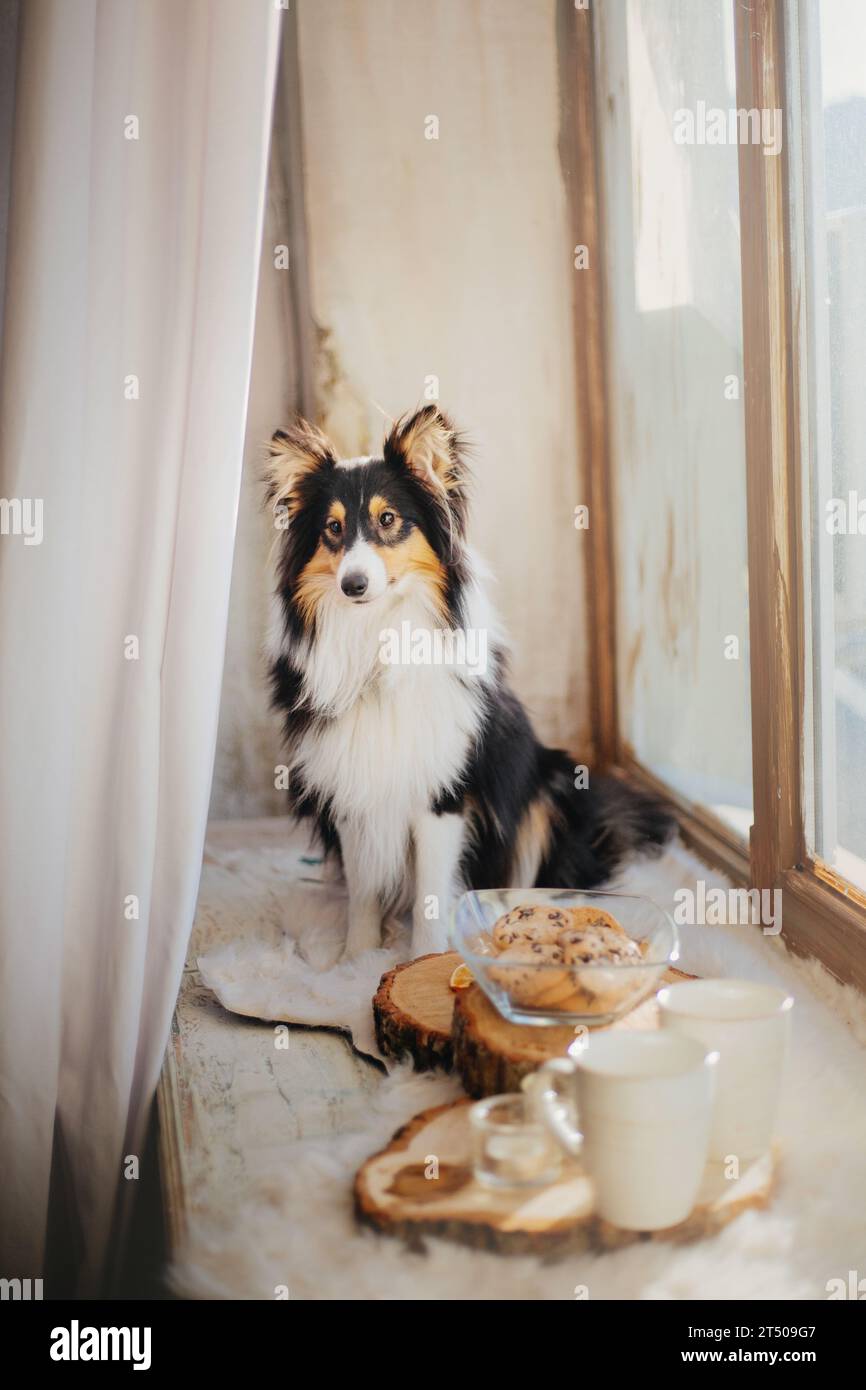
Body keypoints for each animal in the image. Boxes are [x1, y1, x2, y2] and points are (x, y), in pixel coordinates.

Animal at [268, 405, 675, 961]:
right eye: (333, 528)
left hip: (545, 787)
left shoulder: (444, 794)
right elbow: (364, 890)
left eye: (388, 519)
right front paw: (356, 961)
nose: (353, 585)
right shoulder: (352, 786)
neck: (379, 639)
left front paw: (422, 961)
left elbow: (430, 895)